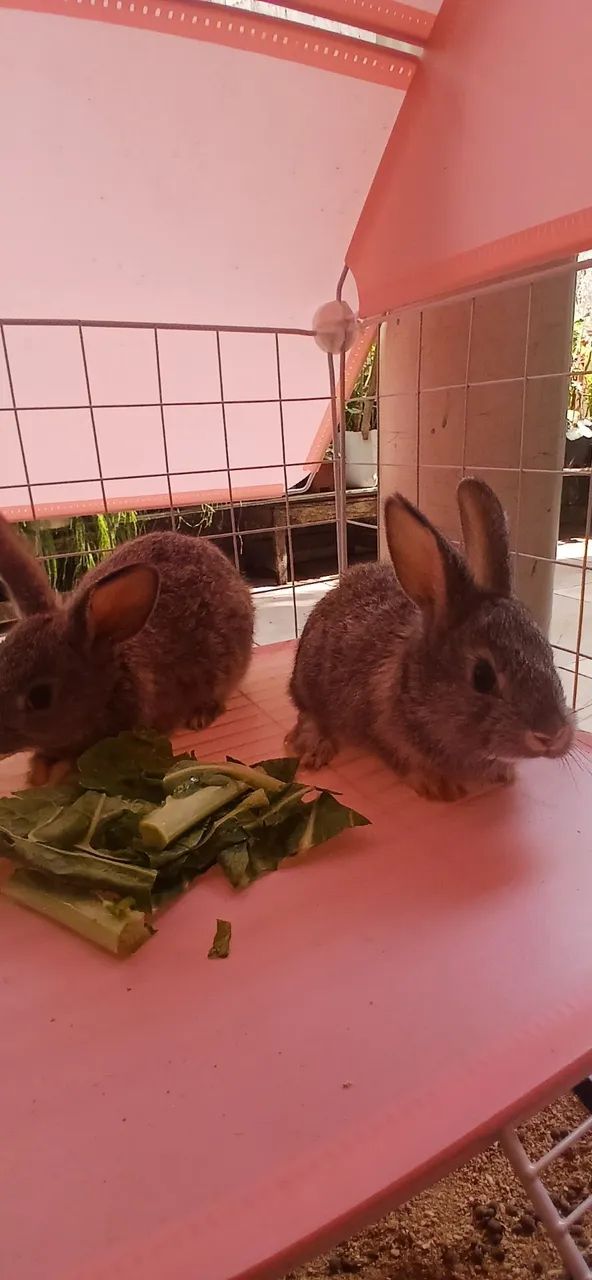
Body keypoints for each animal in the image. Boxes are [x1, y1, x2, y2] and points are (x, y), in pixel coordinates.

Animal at [287, 478, 574, 801]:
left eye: (548, 654)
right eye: (482, 676)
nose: (553, 735)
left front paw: (503, 774)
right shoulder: (385, 734)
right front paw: (440, 786)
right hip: (309, 684)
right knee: (308, 714)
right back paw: (314, 747)